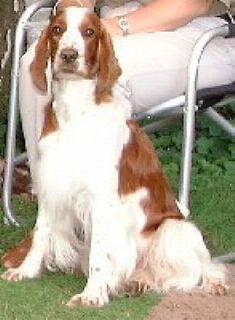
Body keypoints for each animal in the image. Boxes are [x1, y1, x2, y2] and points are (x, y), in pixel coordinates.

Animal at [0, 0, 228, 306]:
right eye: (58, 29)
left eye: (89, 32)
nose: (69, 55)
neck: (77, 112)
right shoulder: (52, 183)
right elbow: (41, 234)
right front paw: (25, 270)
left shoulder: (102, 200)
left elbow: (100, 253)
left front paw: (92, 294)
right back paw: (135, 284)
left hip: (176, 229)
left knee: (201, 269)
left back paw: (210, 283)